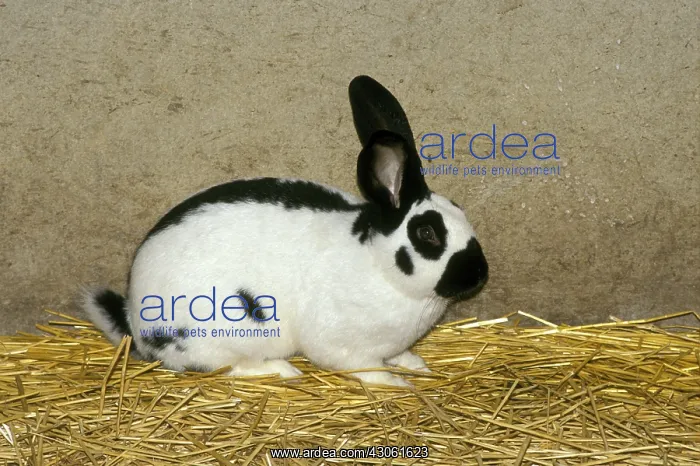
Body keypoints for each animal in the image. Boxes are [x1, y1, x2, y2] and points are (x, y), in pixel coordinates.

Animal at [83, 75, 488, 387]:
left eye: (460, 209)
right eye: (428, 235)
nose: (479, 274)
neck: (379, 266)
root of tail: (135, 319)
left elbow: (400, 354)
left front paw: (417, 365)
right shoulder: (343, 344)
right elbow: (364, 367)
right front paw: (396, 382)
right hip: (219, 338)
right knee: (226, 367)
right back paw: (284, 370)